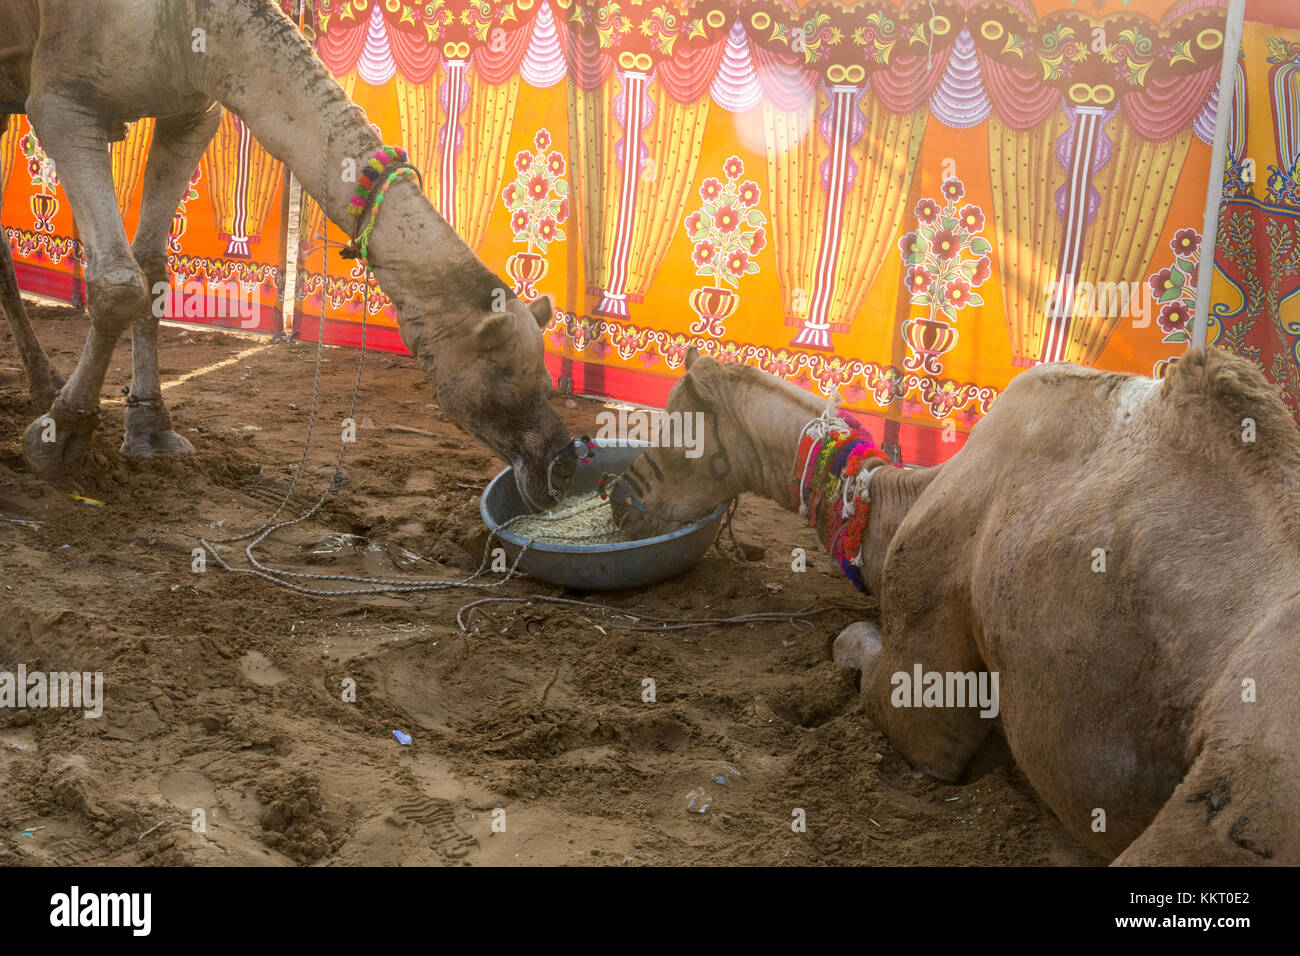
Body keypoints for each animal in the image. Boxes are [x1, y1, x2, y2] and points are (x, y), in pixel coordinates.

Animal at [0, 1, 574, 509]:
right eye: (503, 391)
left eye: (548, 384)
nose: (561, 467)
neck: (193, 20)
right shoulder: (62, 103)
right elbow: (118, 284)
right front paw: (61, 438)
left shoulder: (192, 110)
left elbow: (153, 271)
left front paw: (151, 429)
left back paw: (45, 381)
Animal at [611, 348, 1300, 863]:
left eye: (674, 426)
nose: (618, 497)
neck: (897, 501)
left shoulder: (928, 633)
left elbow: (870, 662)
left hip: (1245, 798)